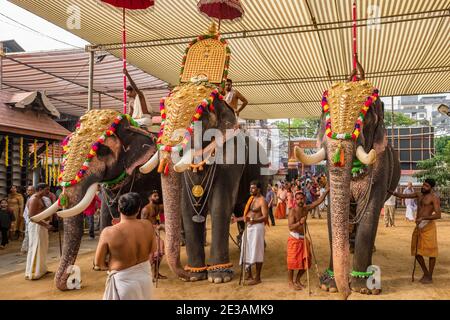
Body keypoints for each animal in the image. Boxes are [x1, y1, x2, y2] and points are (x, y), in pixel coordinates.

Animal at [31, 109, 158, 290]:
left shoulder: (146, 175)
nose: (74, 279)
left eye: (103, 150)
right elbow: (107, 212)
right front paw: (101, 265)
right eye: (66, 149)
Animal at [296, 79, 400, 298]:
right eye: (325, 116)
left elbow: (369, 212)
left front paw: (365, 288)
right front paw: (329, 286)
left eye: (366, 119)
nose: (346, 294)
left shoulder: (381, 166)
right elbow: (332, 213)